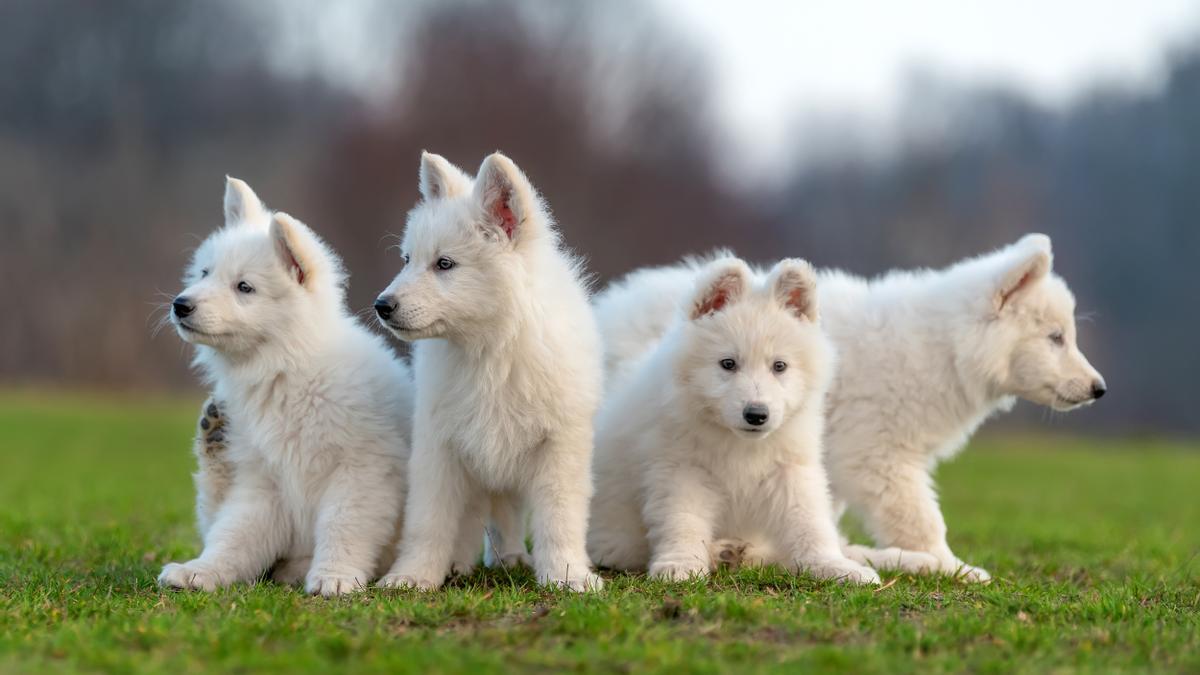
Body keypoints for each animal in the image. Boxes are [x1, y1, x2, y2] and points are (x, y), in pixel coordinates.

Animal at [159, 177, 412, 593]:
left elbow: (343, 526)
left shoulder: (361, 471)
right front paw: (203, 570)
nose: (180, 305)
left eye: (244, 287)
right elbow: (234, 534)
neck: (287, 369)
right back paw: (213, 435)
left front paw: (334, 576)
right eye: (204, 273)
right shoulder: (264, 481)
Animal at [372, 148, 600, 588]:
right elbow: (428, 521)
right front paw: (413, 576)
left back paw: (511, 558)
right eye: (408, 259)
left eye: (444, 264)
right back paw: (463, 563)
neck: (490, 351)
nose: (382, 305)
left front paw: (567, 576)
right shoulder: (440, 445)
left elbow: (559, 518)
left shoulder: (558, 445)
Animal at [585, 254, 878, 581]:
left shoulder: (790, 468)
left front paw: (833, 566)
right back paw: (722, 553)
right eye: (728, 364)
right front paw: (681, 564)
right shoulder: (682, 471)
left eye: (779, 366)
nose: (756, 414)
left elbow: (810, 523)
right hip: (617, 536)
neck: (739, 443)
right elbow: (683, 521)